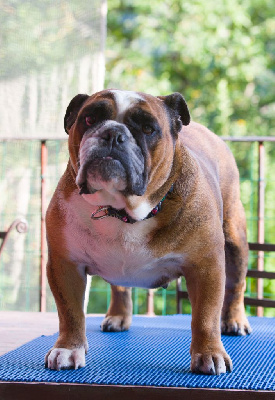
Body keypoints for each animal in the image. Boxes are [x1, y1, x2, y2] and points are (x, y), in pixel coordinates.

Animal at [44, 90, 252, 376]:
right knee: (120, 287)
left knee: (236, 284)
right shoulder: (65, 264)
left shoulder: (206, 266)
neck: (123, 211)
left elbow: (205, 316)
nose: (113, 134)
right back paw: (118, 316)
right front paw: (68, 348)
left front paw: (209, 353)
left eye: (147, 129)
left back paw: (234, 320)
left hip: (234, 237)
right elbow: (70, 313)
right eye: (89, 119)